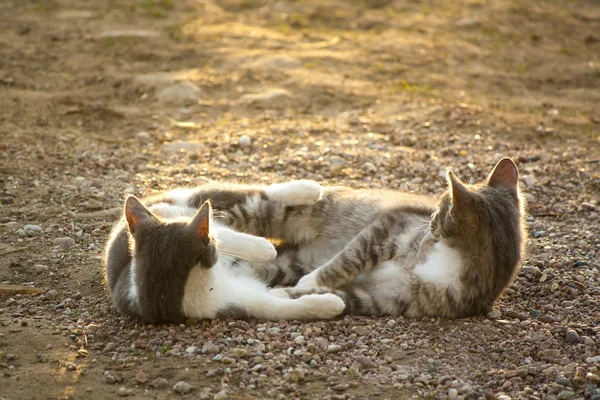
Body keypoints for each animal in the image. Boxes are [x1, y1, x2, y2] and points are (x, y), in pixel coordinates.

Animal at [103, 180, 344, 324]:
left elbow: (222, 232)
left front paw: (260, 248)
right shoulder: (229, 303)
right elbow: (276, 308)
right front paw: (328, 305)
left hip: (194, 199)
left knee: (240, 192)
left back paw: (305, 188)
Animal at [216, 158, 524, 318]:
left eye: (441, 206)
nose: (431, 219)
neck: (448, 256)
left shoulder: (385, 298)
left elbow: (343, 296)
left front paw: (293, 294)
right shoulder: (387, 229)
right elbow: (346, 260)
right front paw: (309, 283)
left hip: (291, 263)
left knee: (266, 266)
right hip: (281, 211)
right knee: (228, 218)